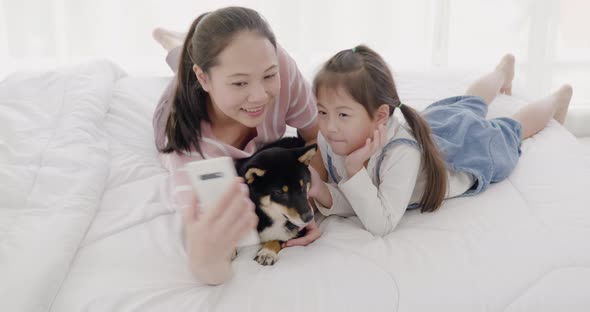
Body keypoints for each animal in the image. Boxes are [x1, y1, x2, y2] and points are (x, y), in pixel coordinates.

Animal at [236, 137, 320, 266]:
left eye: (303, 185)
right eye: (279, 192)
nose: (309, 217)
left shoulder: (296, 230)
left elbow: (279, 237)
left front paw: (267, 252)